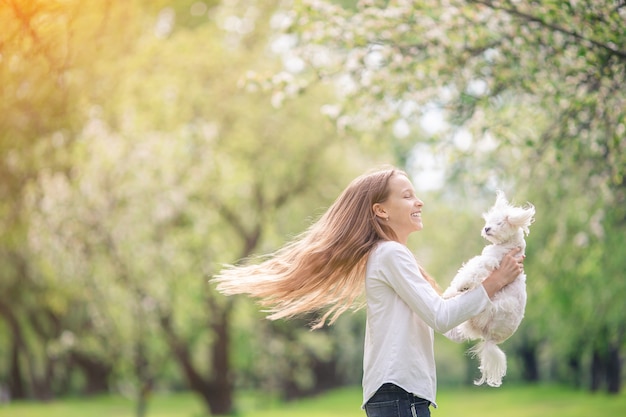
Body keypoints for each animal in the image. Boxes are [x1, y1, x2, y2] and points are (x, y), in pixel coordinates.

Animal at [442, 191, 532, 386]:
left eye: (500, 223)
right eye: (488, 221)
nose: (487, 229)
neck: (508, 245)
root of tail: (491, 339)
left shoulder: (490, 261)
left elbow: (472, 270)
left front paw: (461, 286)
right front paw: (450, 292)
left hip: (491, 309)